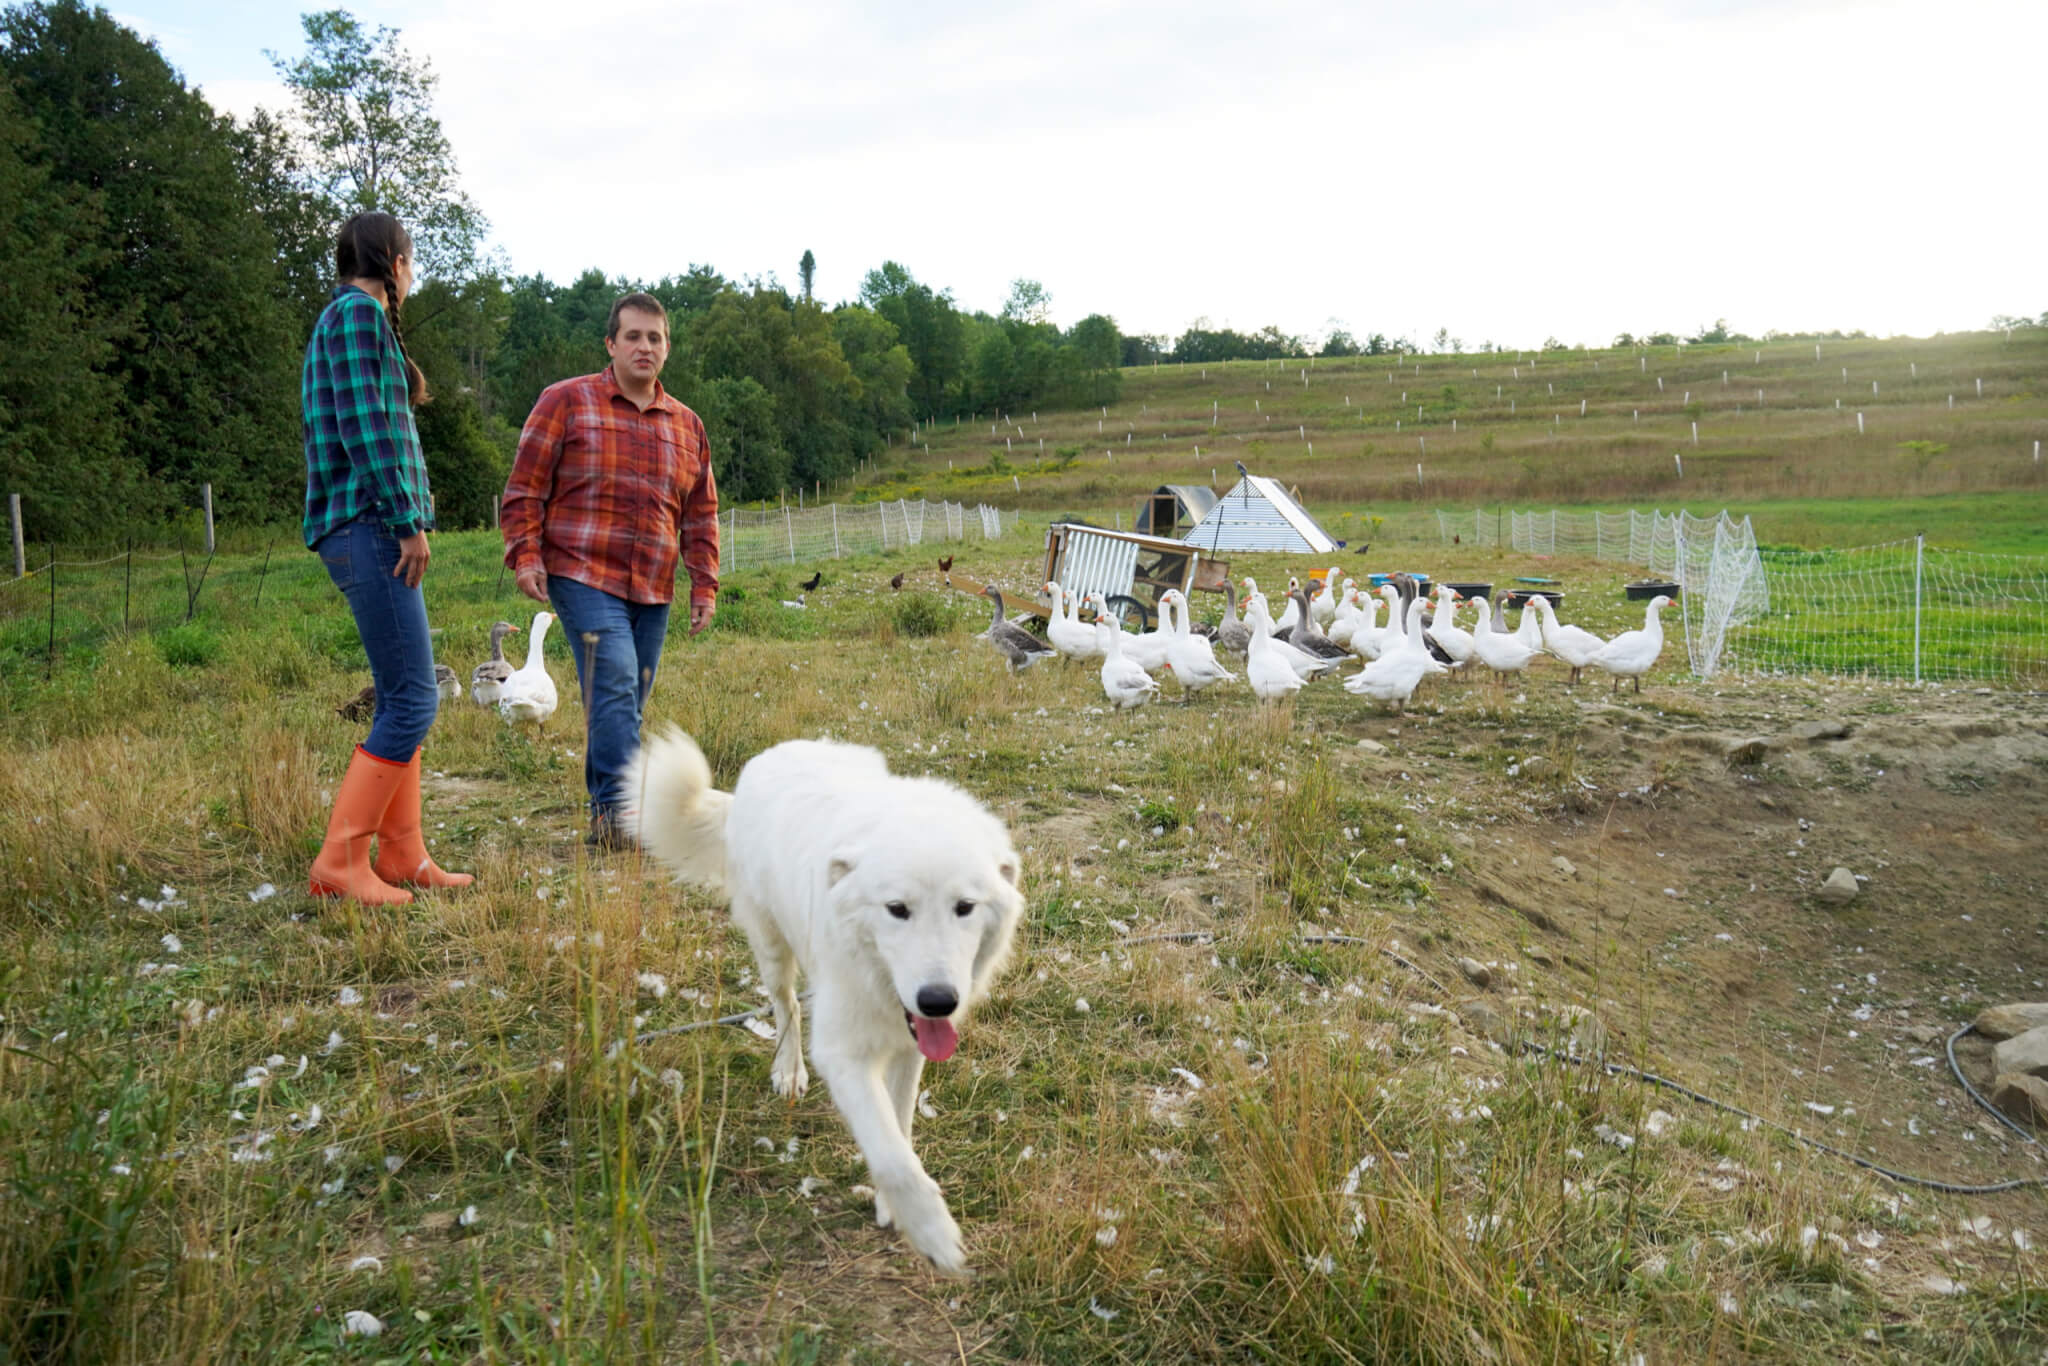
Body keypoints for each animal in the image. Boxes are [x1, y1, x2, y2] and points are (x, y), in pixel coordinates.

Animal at [614, 733, 1015, 1277]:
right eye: (897, 910)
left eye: (965, 908)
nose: (938, 1002)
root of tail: (774, 753)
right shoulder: (842, 1051)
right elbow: (890, 1154)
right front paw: (931, 1229)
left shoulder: (910, 1045)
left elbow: (898, 1127)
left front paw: (894, 1207)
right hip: (771, 948)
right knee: (787, 1006)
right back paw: (788, 1070)